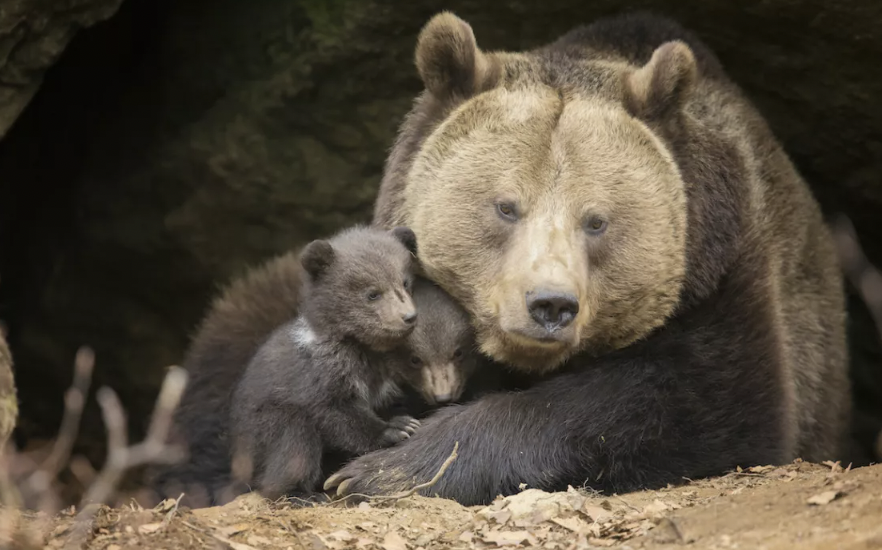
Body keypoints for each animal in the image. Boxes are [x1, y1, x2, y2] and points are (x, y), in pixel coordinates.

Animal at [322, 9, 844, 508]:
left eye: (596, 221)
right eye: (506, 207)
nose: (550, 304)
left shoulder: (719, 273)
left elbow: (708, 402)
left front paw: (386, 470)